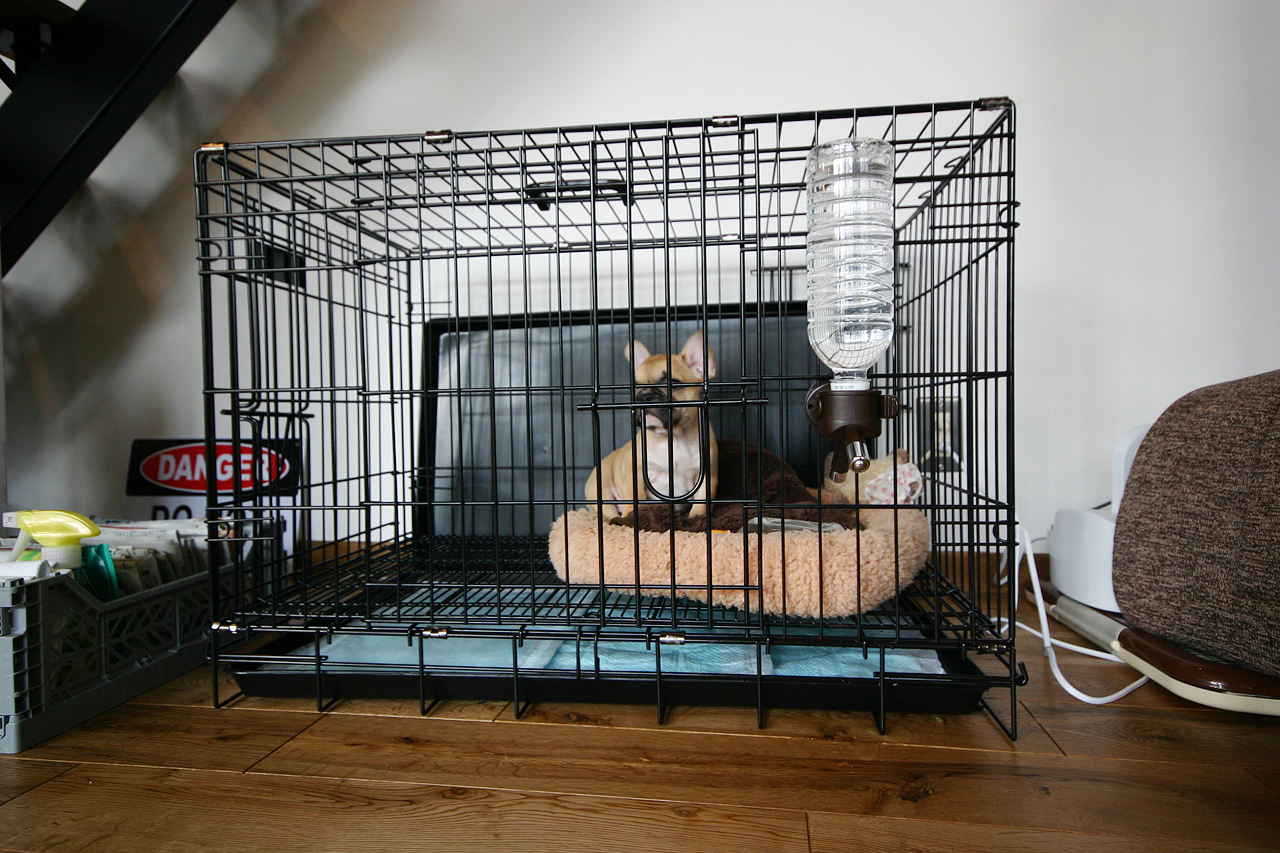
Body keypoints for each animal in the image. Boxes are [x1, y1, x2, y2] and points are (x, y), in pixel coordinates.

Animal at [585, 330, 718, 520]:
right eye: (635, 387)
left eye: (673, 383)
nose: (645, 396)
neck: (673, 437)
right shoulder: (635, 471)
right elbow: (635, 498)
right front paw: (634, 517)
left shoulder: (706, 476)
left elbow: (702, 503)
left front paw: (697, 519)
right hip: (601, 491)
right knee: (610, 515)